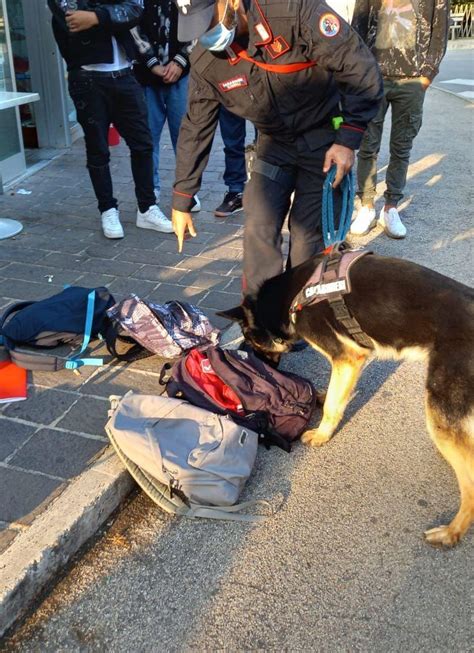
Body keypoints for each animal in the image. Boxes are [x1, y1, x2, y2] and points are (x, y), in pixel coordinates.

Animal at [221, 250, 474, 544]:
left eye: (249, 337)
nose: (243, 352)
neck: (291, 295)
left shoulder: (347, 358)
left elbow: (333, 404)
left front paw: (321, 434)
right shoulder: (350, 361)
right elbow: (333, 394)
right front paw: (318, 397)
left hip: (441, 410)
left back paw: (451, 532)